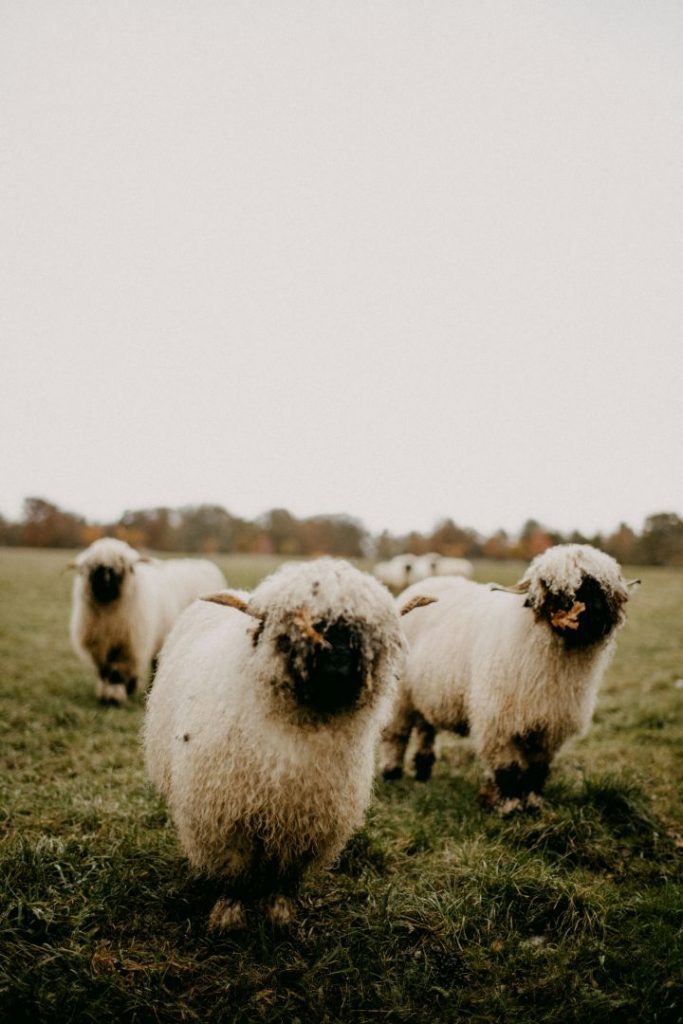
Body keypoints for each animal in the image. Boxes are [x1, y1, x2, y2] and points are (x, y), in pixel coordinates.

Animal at [69, 537, 226, 705]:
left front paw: (114, 697)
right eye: (91, 569)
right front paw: (106, 694)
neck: (109, 614)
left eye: (125, 568)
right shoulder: (100, 646)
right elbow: (105, 671)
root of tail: (203, 562)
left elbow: (116, 672)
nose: (105, 585)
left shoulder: (128, 645)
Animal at [143, 557, 417, 930]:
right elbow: (235, 871)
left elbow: (284, 876)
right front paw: (229, 915)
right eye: (293, 631)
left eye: (364, 633)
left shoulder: (304, 821)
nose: (338, 662)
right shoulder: (228, 818)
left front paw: (279, 914)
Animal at [380, 544, 636, 814]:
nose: (589, 611)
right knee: (396, 736)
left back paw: (423, 771)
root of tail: (423, 583)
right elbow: (508, 769)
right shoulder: (498, 721)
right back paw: (392, 773)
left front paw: (532, 803)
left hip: (427, 692)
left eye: (601, 585)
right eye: (547, 584)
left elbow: (537, 769)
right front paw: (510, 806)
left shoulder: (550, 725)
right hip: (400, 696)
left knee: (425, 729)